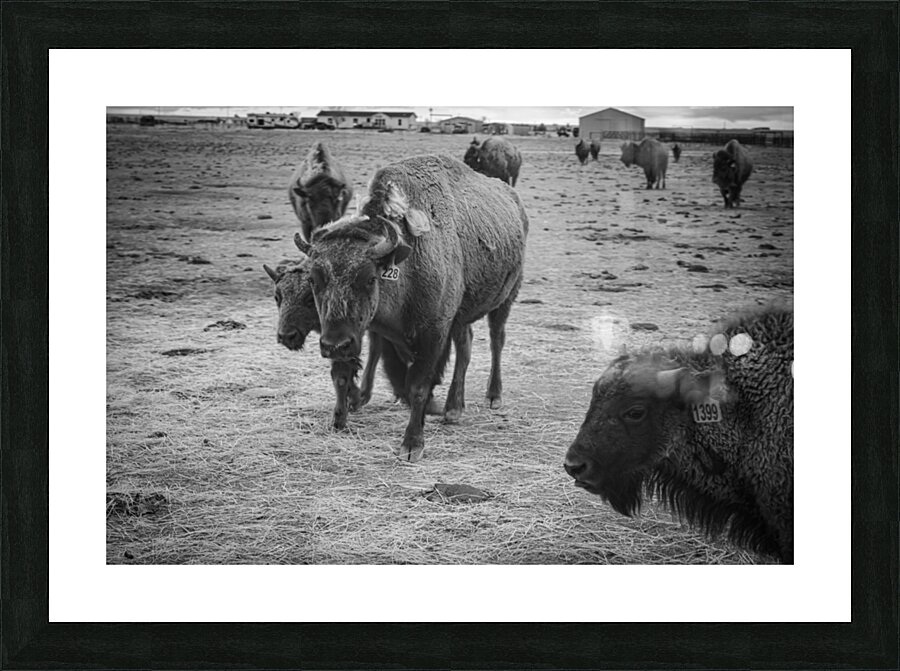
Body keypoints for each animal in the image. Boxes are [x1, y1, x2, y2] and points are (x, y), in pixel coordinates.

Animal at [306, 155, 529, 461]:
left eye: (369, 278)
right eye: (313, 280)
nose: (334, 345)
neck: (405, 263)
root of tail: (515, 201)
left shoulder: (433, 333)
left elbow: (418, 386)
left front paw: (412, 445)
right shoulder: (371, 330)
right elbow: (347, 373)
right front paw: (341, 417)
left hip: (506, 297)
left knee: (497, 339)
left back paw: (493, 396)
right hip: (461, 317)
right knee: (465, 347)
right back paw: (453, 408)